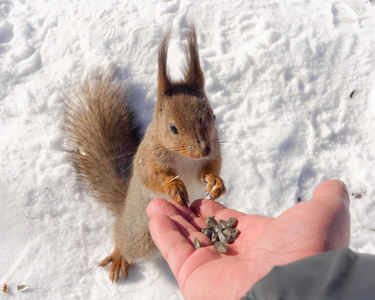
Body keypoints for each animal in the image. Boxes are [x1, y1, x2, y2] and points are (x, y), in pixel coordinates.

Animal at [64, 25, 226, 282]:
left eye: (214, 116)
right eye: (173, 128)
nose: (203, 149)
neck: (186, 158)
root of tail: (124, 212)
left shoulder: (213, 153)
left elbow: (212, 167)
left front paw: (216, 183)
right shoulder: (148, 157)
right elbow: (150, 176)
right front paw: (173, 187)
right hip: (139, 235)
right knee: (122, 238)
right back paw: (119, 255)